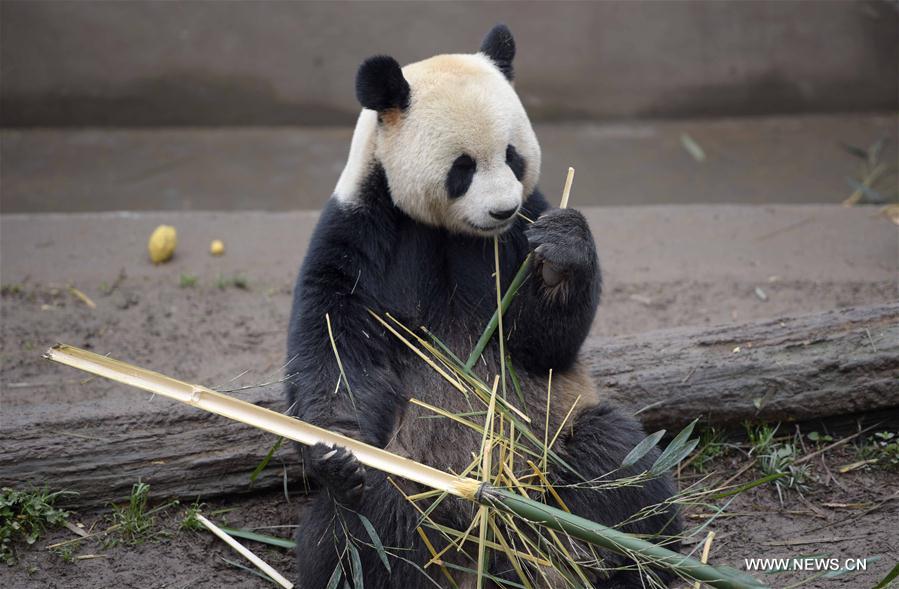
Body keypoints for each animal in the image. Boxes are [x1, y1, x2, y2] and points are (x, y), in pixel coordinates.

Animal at [285, 25, 681, 589]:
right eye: (463, 168)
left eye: (513, 156)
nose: (502, 209)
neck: (452, 233)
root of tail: (482, 519)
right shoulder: (361, 229)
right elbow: (335, 338)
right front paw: (336, 448)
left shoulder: (520, 231)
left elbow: (542, 344)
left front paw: (560, 254)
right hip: (408, 475)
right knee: (356, 534)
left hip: (552, 440)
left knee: (618, 466)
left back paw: (624, 557)